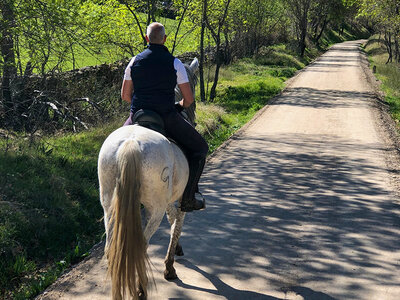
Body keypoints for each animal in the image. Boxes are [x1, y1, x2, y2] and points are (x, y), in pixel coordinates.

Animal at [98, 59, 200, 300]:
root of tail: (131, 143)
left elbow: (173, 222)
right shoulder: (179, 199)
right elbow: (176, 223)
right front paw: (170, 266)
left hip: (109, 205)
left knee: (111, 248)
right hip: (154, 208)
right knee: (141, 246)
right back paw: (141, 291)